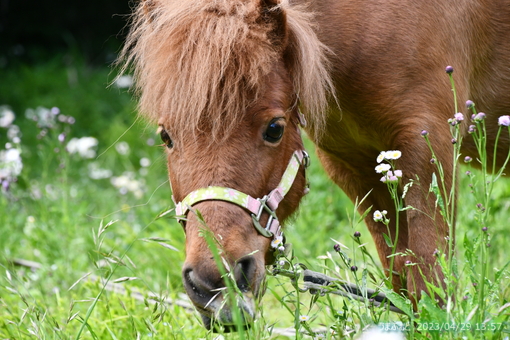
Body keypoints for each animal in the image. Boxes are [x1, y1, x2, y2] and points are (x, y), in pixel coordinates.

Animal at [119, 0, 510, 330]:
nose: (215, 281)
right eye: (166, 136)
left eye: (274, 129)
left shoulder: (428, 150)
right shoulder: (358, 166)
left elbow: (431, 285)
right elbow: (403, 282)